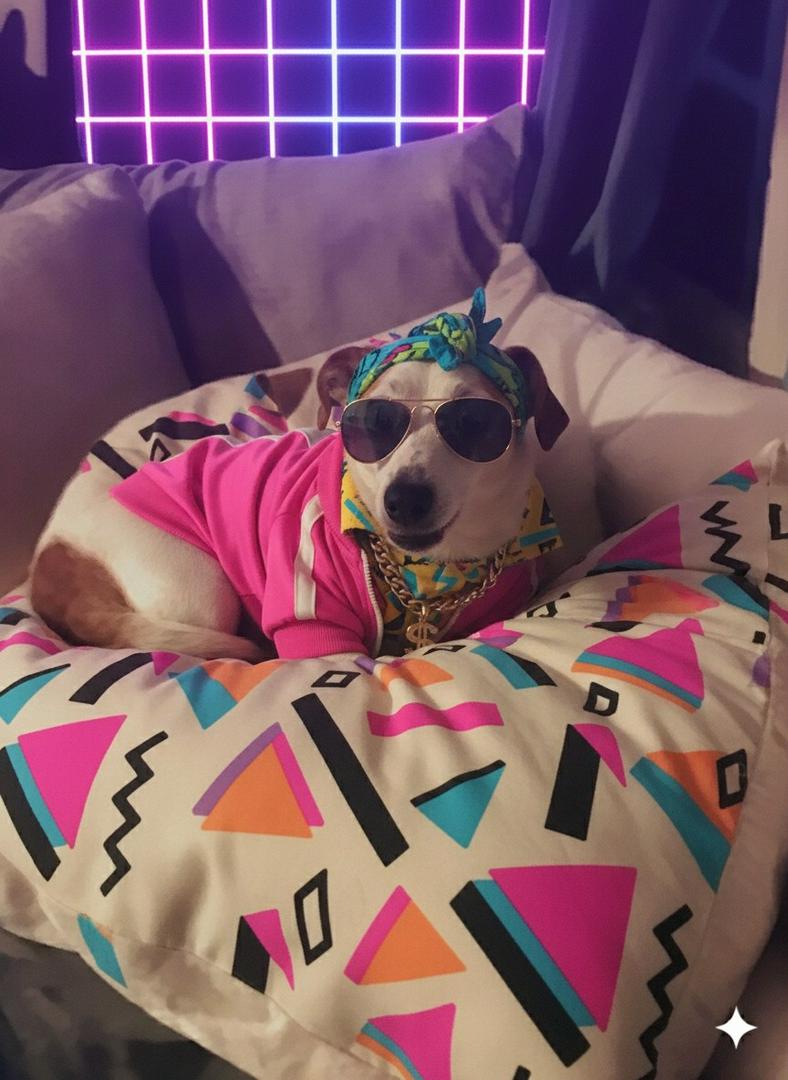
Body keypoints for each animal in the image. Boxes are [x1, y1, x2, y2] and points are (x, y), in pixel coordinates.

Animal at [30, 291, 568, 662]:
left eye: (475, 423)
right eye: (371, 421)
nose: (406, 499)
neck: (429, 574)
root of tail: (50, 561)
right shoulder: (313, 622)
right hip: (198, 588)